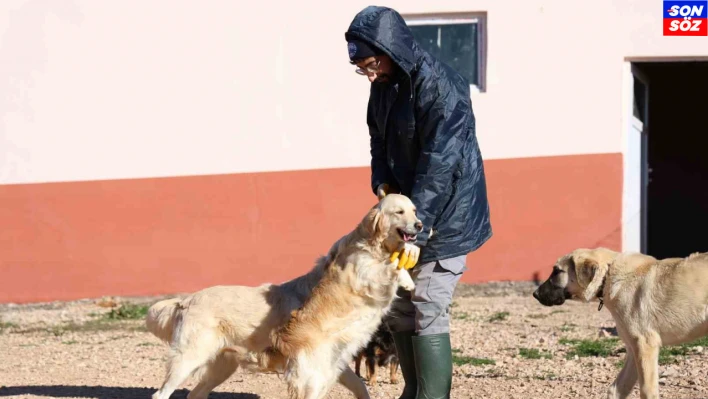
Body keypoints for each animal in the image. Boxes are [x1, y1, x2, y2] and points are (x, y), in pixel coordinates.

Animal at [145, 195, 420, 399]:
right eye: (399, 212)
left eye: (414, 210)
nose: (420, 225)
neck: (370, 245)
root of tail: (186, 300)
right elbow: (388, 267)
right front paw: (405, 277)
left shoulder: (334, 363)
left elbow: (361, 386)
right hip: (188, 357)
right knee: (161, 394)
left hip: (221, 365)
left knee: (195, 394)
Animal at [532, 247, 708, 399]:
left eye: (557, 271)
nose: (535, 294)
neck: (608, 275)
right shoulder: (633, 349)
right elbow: (616, 389)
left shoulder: (645, 345)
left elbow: (647, 390)